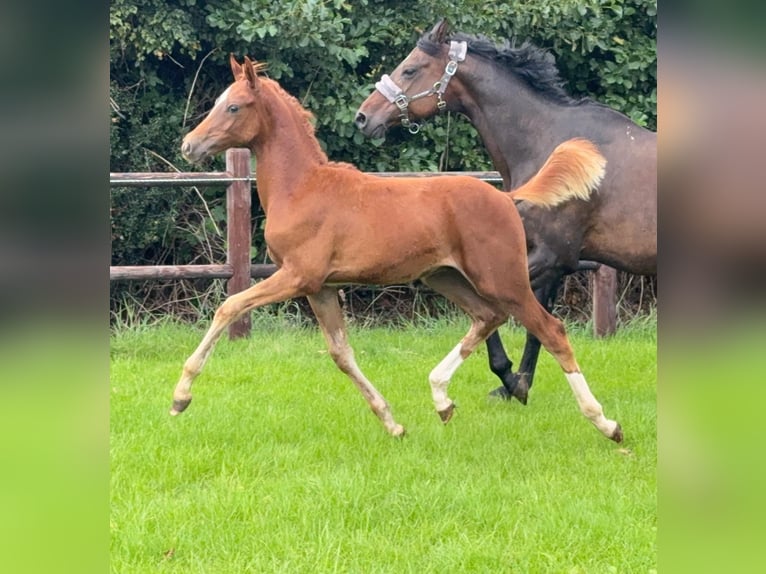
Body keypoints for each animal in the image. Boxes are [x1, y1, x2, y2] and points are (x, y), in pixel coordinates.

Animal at [173, 54, 623, 443]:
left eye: (234, 107)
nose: (189, 146)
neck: (302, 187)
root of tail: (506, 197)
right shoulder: (322, 288)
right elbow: (341, 354)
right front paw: (393, 424)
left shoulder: (298, 276)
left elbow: (229, 306)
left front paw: (180, 397)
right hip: (446, 277)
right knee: (487, 317)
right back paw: (441, 399)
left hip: (503, 279)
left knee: (551, 330)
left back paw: (606, 424)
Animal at [355, 19, 657, 405]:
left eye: (410, 69)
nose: (363, 117)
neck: (546, 143)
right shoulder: (546, 259)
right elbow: (535, 325)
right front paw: (518, 382)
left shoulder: (550, 256)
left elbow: (500, 311)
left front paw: (510, 378)